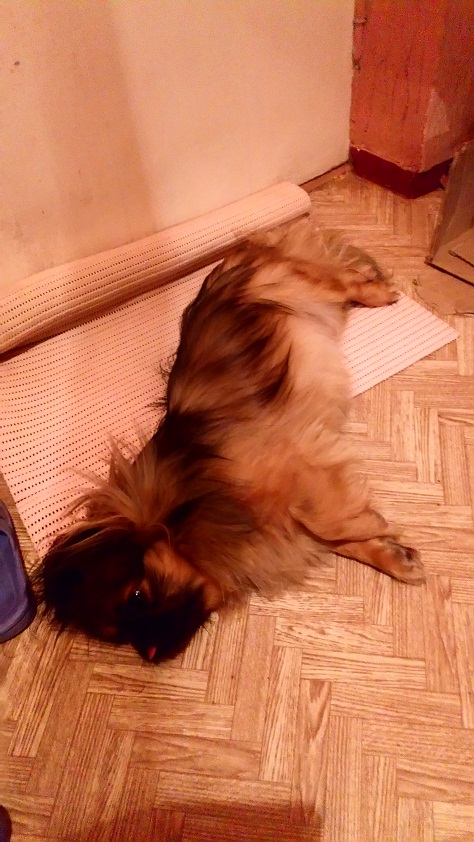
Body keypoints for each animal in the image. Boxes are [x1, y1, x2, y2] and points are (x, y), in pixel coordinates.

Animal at [38, 218, 425, 662]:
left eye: (137, 597)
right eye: (120, 634)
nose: (149, 653)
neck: (189, 508)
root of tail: (241, 252)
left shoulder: (300, 468)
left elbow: (331, 522)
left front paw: (374, 525)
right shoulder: (288, 518)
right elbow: (341, 540)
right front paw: (395, 555)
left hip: (305, 286)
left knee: (343, 281)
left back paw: (378, 293)